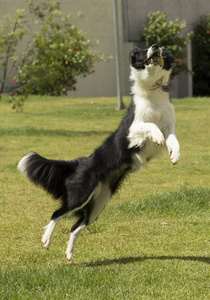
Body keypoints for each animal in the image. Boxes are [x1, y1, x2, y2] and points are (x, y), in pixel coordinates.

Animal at [17, 44, 180, 264]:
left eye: (162, 50)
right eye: (143, 50)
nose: (155, 47)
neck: (152, 91)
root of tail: (80, 162)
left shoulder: (170, 125)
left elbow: (173, 139)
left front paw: (175, 155)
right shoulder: (131, 130)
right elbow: (150, 125)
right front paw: (157, 137)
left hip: (98, 203)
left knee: (75, 227)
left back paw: (69, 255)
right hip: (80, 193)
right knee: (57, 212)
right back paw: (46, 239)